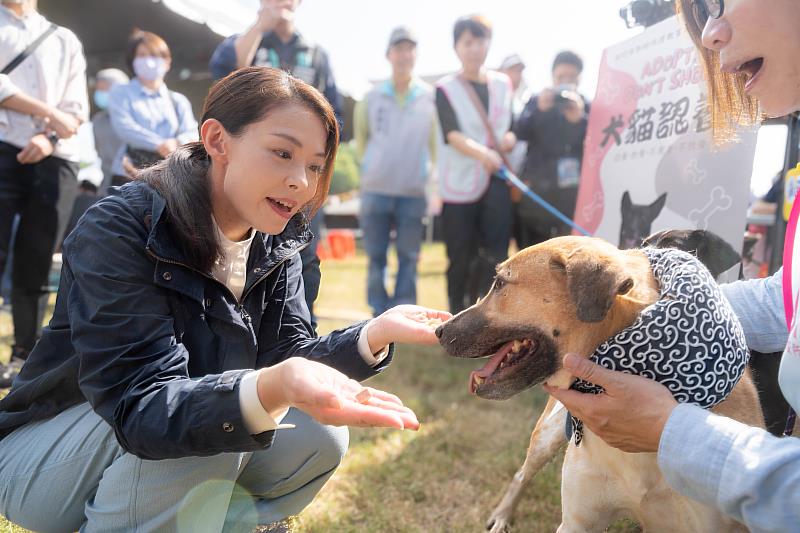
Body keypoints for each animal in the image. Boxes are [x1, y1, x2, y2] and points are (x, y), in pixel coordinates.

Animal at [438, 237, 764, 532]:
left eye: (500, 283)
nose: (439, 330)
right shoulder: (576, 521)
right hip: (546, 436)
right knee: (522, 474)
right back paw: (502, 516)